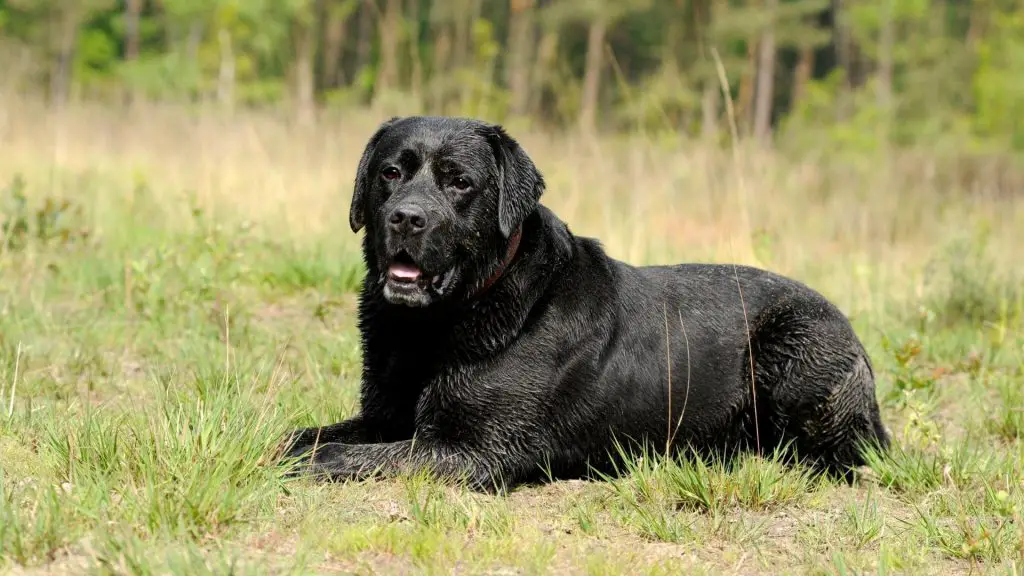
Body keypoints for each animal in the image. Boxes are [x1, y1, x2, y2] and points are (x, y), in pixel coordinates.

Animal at [282, 115, 888, 487]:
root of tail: (854, 333)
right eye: (390, 173)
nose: (406, 217)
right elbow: (304, 437)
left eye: (460, 183)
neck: (437, 324)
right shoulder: (384, 416)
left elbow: (339, 457)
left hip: (795, 343)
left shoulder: (473, 451)